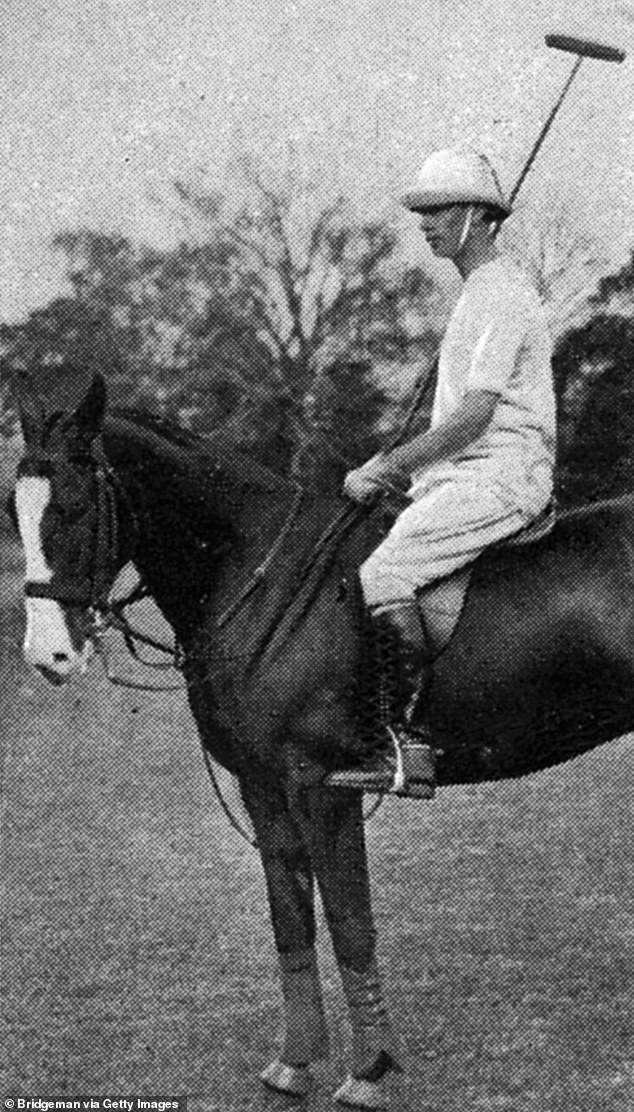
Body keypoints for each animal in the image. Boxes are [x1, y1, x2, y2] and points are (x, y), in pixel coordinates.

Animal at [11, 371, 634, 1103]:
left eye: (75, 505)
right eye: (14, 508)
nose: (48, 656)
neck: (261, 579)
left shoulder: (324, 786)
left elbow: (349, 922)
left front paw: (370, 1071)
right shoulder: (264, 785)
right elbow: (291, 921)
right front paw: (295, 1063)